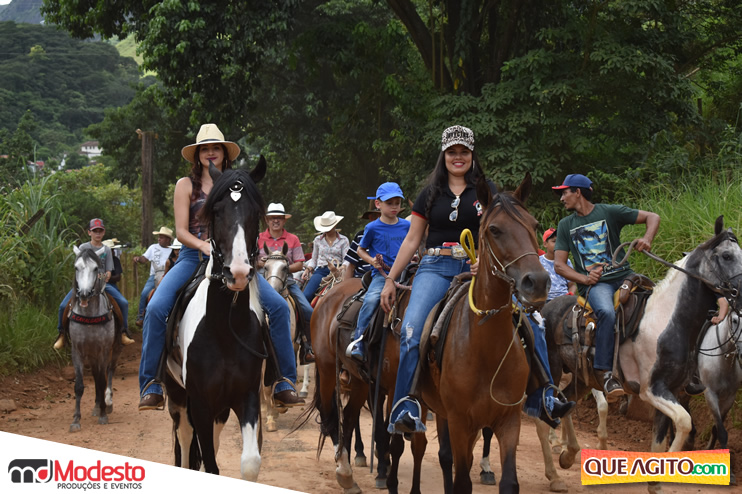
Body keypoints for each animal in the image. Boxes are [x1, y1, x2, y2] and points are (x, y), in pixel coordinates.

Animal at [67, 246, 123, 432]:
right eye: (76, 267)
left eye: (96, 268)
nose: (84, 294)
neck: (90, 316)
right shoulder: (77, 351)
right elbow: (79, 385)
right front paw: (76, 420)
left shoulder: (104, 350)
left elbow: (102, 379)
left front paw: (103, 415)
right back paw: (98, 404)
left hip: (115, 349)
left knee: (109, 371)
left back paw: (107, 402)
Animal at [163, 159, 268, 480]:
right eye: (217, 211)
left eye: (255, 212)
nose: (238, 273)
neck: (224, 330)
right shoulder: (200, 403)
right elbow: (208, 463)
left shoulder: (246, 397)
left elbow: (250, 462)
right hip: (178, 397)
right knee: (185, 441)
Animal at [413, 174, 551, 493]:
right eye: (494, 230)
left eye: (534, 224)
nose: (537, 281)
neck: (486, 350)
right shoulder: (461, 422)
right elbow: (462, 480)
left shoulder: (508, 420)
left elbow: (509, 481)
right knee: (413, 446)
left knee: (443, 455)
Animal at [698, 311, 742, 485]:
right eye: (735, 320)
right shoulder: (710, 394)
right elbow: (722, 432)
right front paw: (730, 476)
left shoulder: (729, 397)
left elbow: (717, 427)